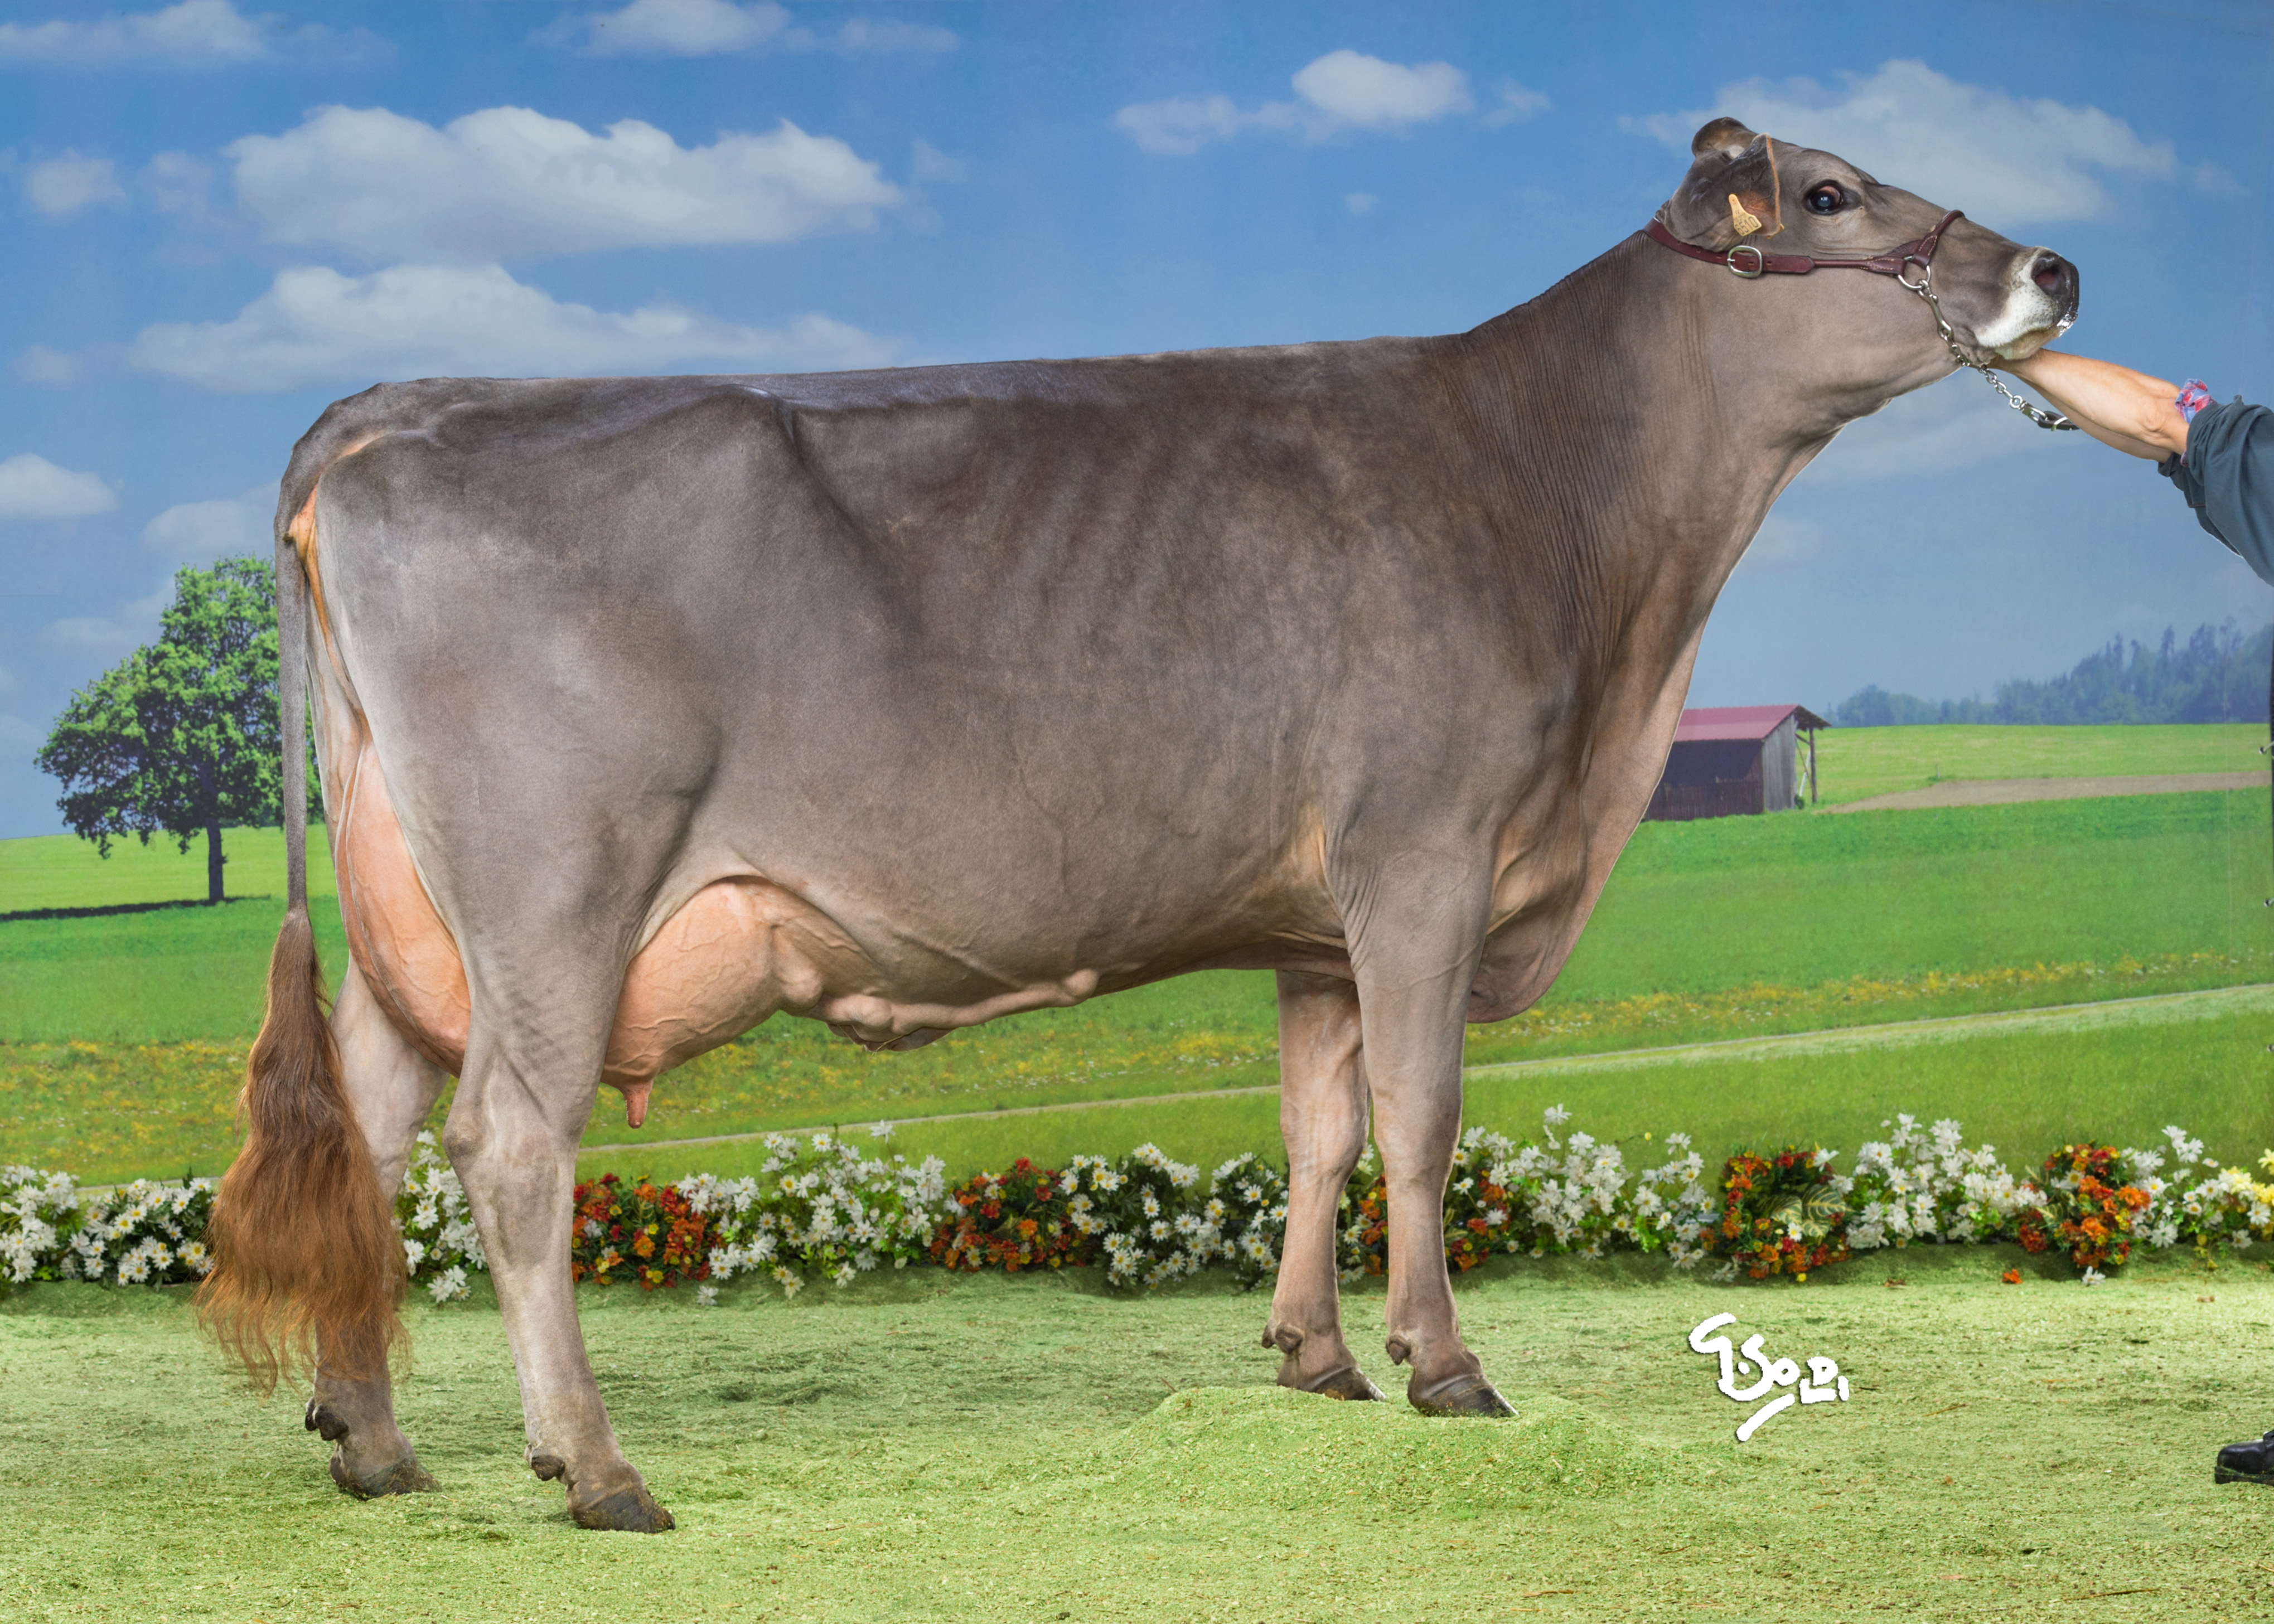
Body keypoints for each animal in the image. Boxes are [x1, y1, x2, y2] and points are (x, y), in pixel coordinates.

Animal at [199, 119, 2079, 1532]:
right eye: (1829, 194)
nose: (2051, 271)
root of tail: (396, 404)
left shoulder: (1320, 919)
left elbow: (1319, 1129)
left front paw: (1315, 1357)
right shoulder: (1423, 856)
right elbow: (1420, 1117)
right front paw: (1446, 1366)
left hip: (413, 919)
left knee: (369, 1129)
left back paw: (374, 1441)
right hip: (555, 894)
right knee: (507, 1149)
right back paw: (594, 1469)